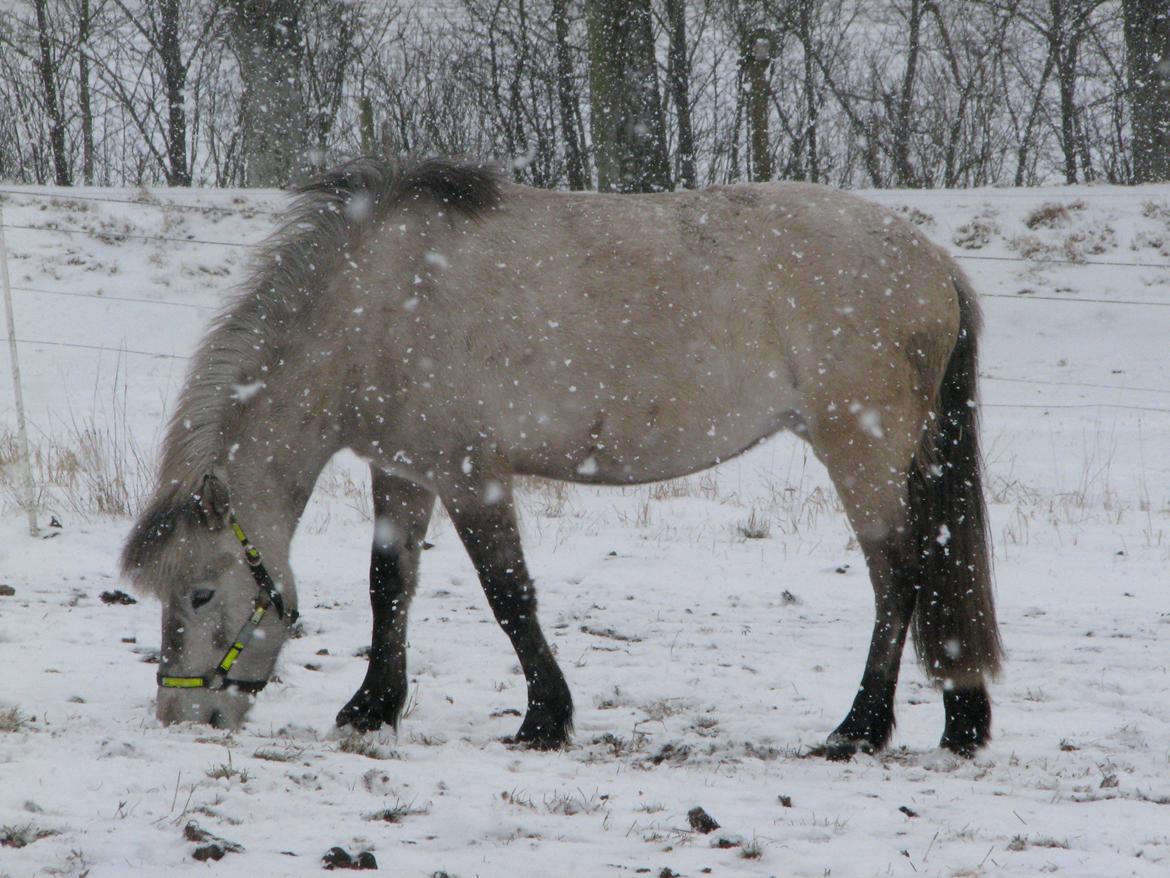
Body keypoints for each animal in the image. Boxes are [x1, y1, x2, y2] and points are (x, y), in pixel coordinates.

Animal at [121, 156, 1006, 758]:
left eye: (201, 594)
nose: (184, 718)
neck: (380, 301)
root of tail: (934, 260)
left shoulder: (471, 475)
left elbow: (509, 594)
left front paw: (545, 718)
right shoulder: (403, 472)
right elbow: (388, 586)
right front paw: (372, 708)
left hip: (861, 448)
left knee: (900, 576)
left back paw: (859, 728)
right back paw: (961, 721)